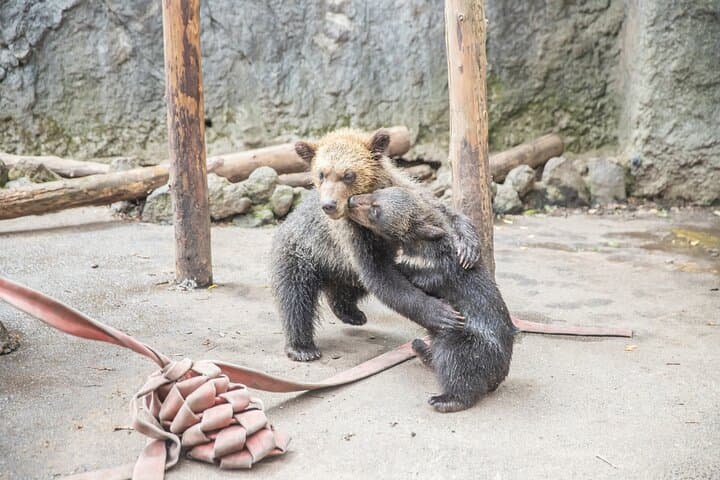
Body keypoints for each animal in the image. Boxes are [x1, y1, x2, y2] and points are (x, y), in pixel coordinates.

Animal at [271, 128, 480, 362]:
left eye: (348, 174)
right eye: (321, 174)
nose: (329, 205)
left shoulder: (407, 195)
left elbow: (443, 212)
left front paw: (468, 248)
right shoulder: (354, 237)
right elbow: (381, 276)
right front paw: (442, 314)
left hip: (337, 265)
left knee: (346, 288)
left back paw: (351, 313)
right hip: (301, 252)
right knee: (296, 298)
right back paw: (302, 347)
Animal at [346, 186, 516, 413]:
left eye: (376, 210)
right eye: (376, 192)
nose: (351, 200)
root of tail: (500, 374)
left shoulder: (438, 271)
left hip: (468, 341)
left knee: (456, 364)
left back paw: (444, 398)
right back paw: (421, 348)